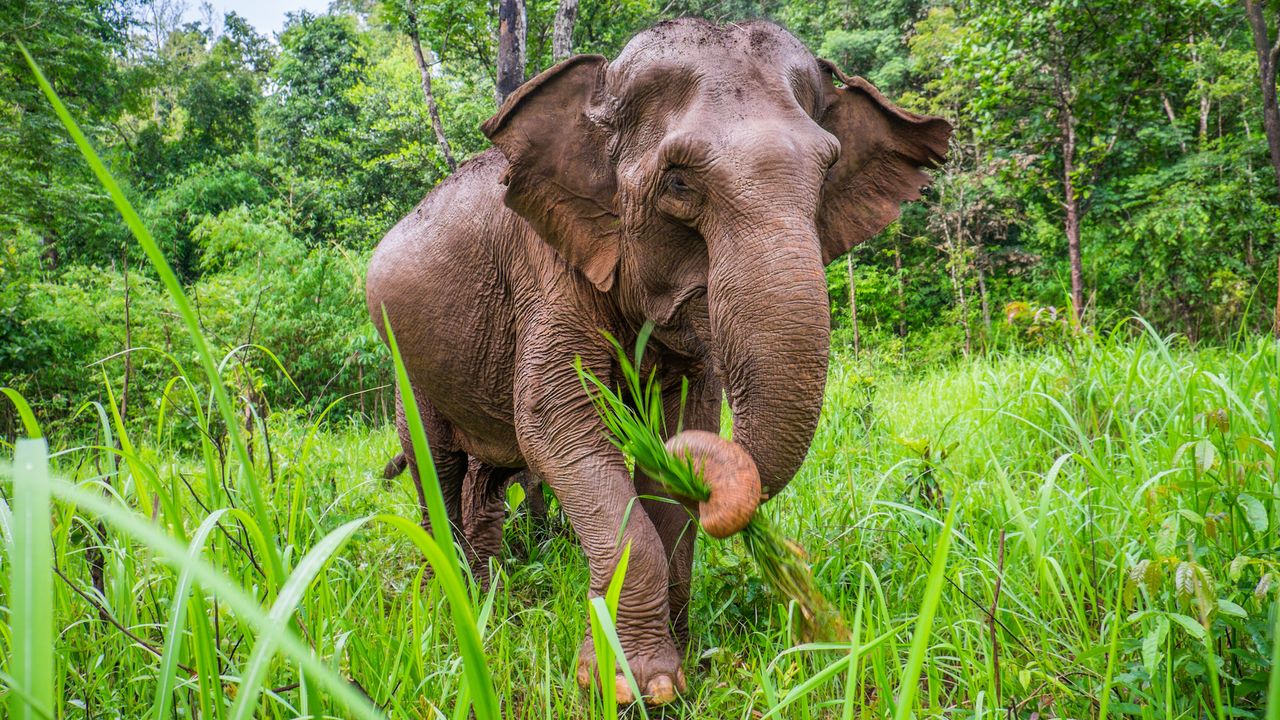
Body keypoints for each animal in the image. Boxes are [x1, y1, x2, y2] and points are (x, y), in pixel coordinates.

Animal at [366, 17, 950, 705]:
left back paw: (492, 600)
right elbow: (556, 426)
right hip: (407, 368)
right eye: (678, 182)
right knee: (439, 467)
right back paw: (454, 604)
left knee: (485, 478)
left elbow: (678, 435)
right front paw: (627, 683)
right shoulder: (547, 270)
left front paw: (678, 666)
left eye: (828, 171)